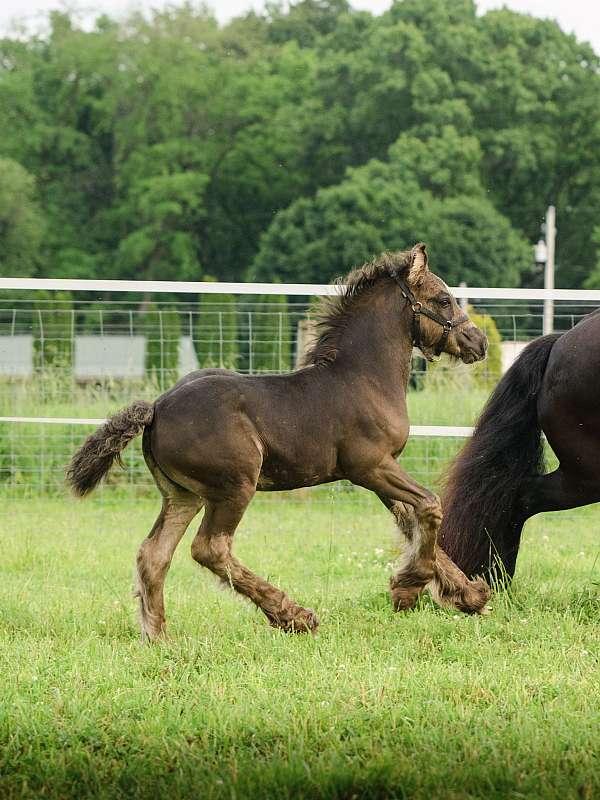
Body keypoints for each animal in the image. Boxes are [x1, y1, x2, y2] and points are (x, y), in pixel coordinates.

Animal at [67, 244, 490, 641]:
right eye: (442, 298)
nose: (479, 341)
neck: (363, 378)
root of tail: (156, 407)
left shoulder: (383, 470)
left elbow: (414, 519)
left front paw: (467, 595)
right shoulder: (370, 467)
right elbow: (430, 507)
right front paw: (407, 588)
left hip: (183, 495)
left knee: (154, 554)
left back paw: (159, 638)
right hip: (235, 485)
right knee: (210, 548)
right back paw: (294, 615)